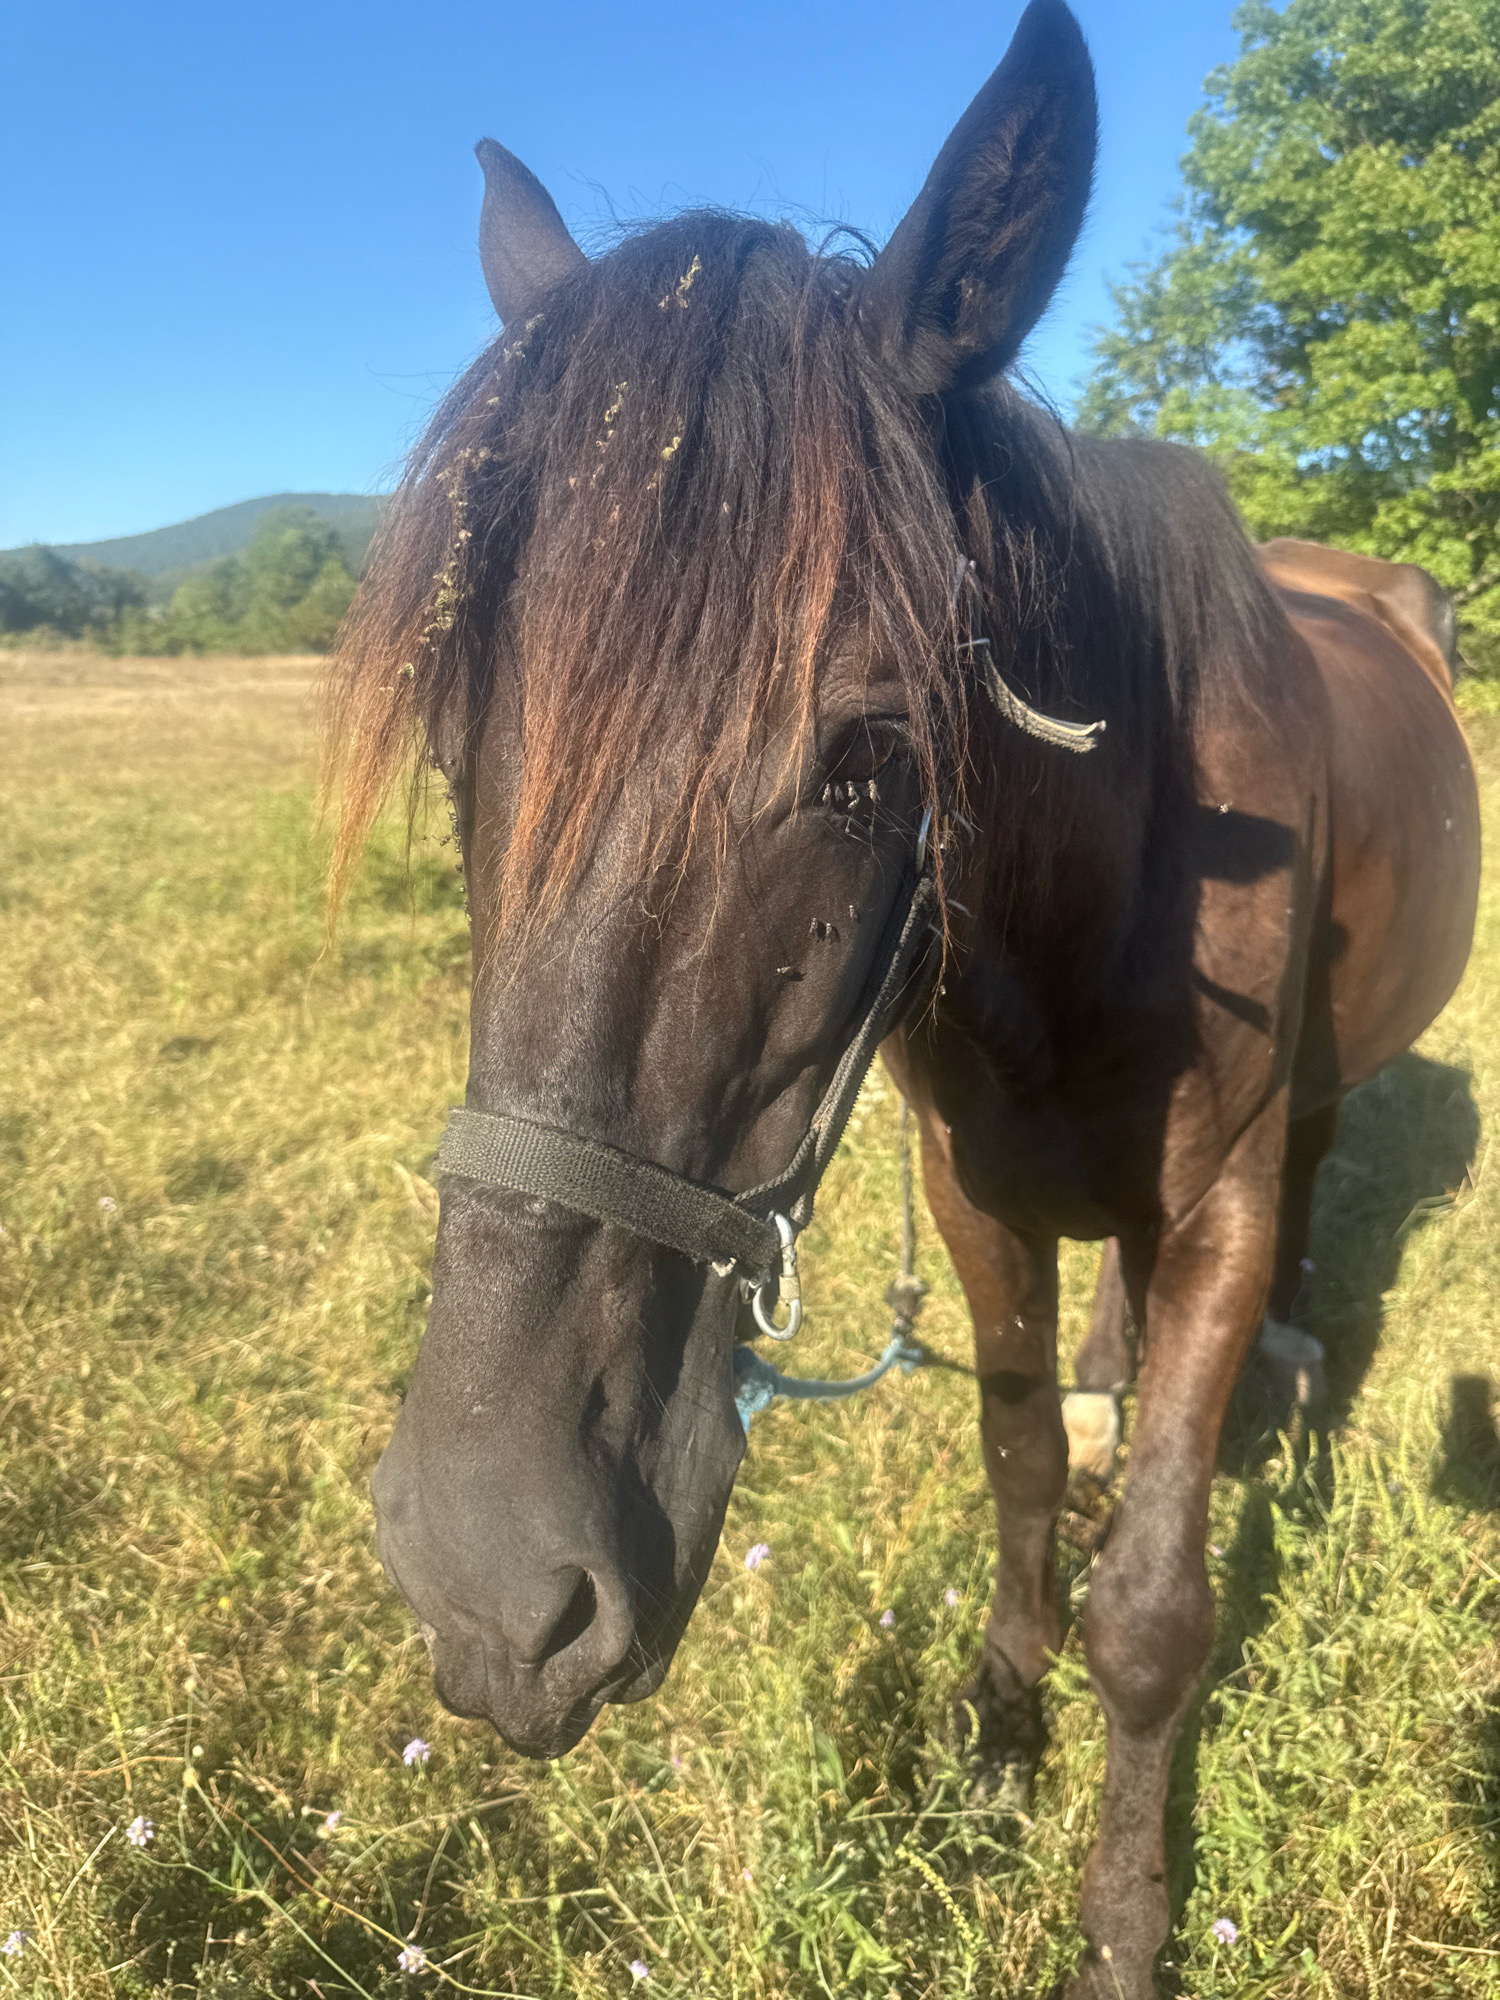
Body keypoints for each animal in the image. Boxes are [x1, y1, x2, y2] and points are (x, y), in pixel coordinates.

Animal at [324, 4, 1480, 1992]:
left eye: (871, 757)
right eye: (467, 743)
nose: (492, 1582)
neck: (1108, 903)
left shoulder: (1219, 1199)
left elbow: (1154, 1604)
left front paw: (1123, 1923)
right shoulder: (975, 1194)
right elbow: (1017, 1480)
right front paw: (998, 1749)